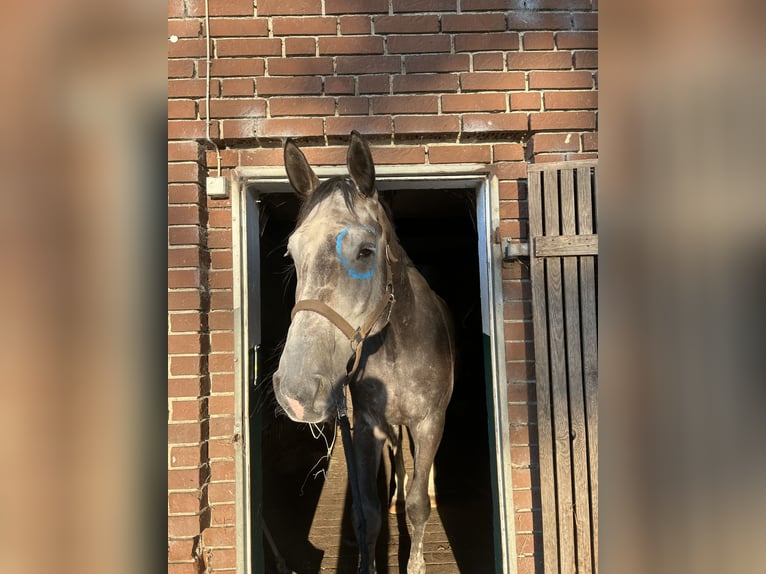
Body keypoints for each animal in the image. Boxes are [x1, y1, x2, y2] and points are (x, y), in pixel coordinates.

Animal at [272, 133, 456, 572]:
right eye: (292, 253)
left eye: (365, 251)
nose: (295, 391)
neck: (399, 347)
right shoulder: (369, 426)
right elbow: (368, 513)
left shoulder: (430, 422)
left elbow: (419, 506)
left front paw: (416, 564)